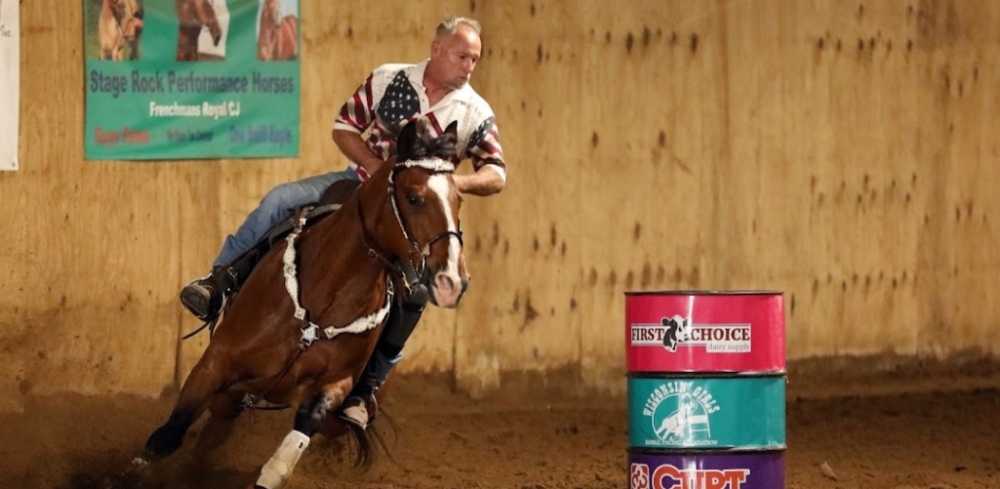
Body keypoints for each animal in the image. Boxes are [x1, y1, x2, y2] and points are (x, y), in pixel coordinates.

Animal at [132, 118, 468, 488]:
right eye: (413, 198)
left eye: (459, 199)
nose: (452, 280)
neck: (325, 296)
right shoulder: (216, 363)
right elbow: (166, 436)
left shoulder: (334, 384)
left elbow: (297, 435)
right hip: (229, 394)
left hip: (318, 415)